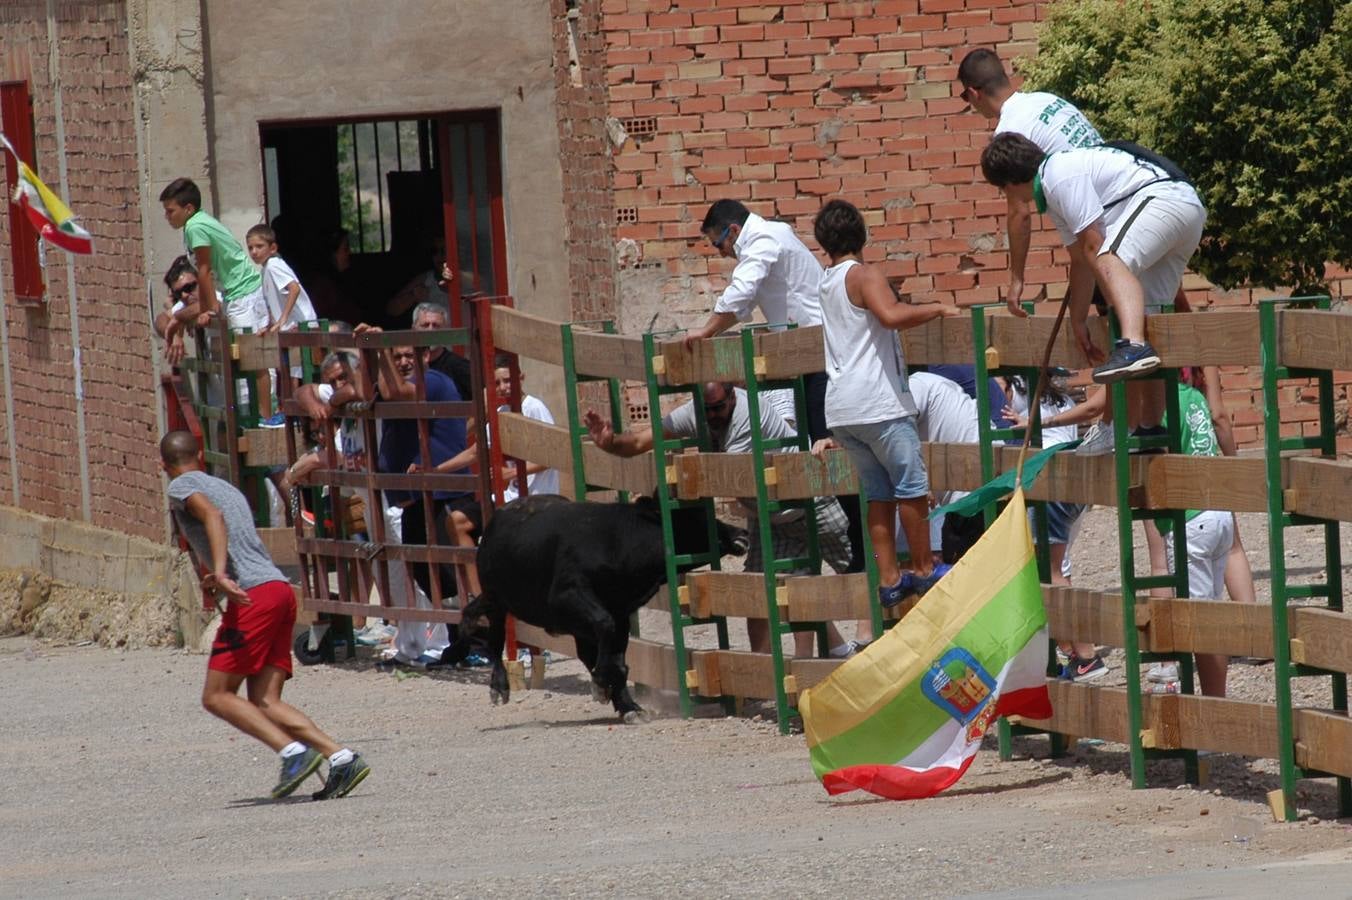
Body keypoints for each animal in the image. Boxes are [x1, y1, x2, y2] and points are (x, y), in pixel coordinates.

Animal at [440, 491, 740, 724]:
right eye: (693, 516)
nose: (741, 533)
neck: (616, 540)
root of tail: (497, 519)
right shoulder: (568, 597)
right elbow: (605, 634)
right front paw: (602, 686)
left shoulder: (620, 614)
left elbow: (616, 659)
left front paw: (627, 705)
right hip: (498, 601)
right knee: (492, 636)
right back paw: (498, 685)